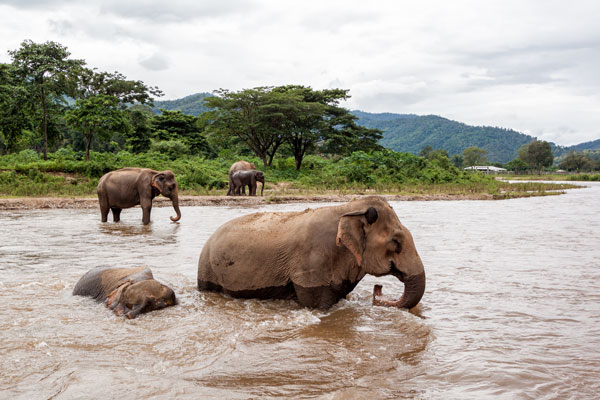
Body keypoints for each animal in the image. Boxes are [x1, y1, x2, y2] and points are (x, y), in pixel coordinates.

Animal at [198, 196, 426, 310]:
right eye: (396, 242)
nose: (377, 289)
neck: (346, 208)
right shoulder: (312, 263)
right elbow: (318, 304)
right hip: (207, 269)